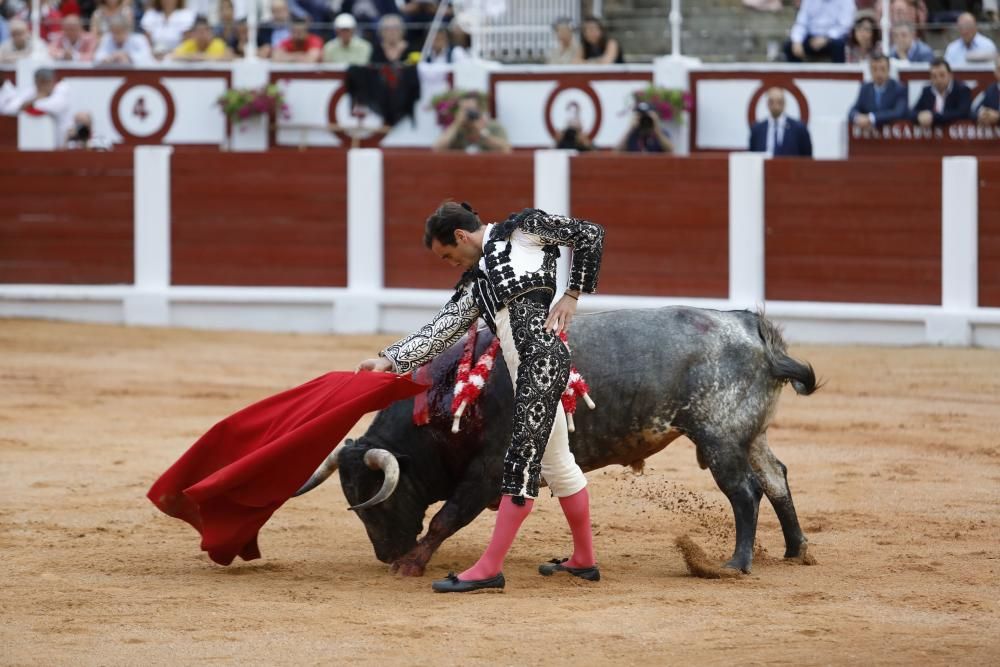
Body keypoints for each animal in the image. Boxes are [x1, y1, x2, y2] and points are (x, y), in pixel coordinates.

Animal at [294, 306, 812, 576]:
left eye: (378, 501)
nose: (386, 556)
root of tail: (755, 330)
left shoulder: (488, 469)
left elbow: (446, 517)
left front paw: (414, 564)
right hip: (749, 436)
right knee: (776, 479)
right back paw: (795, 550)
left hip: (719, 436)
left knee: (745, 491)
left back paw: (735, 563)